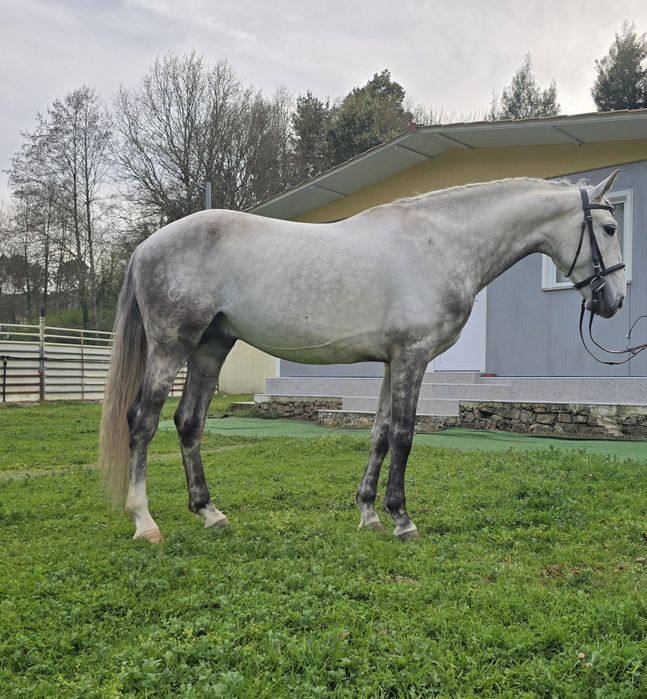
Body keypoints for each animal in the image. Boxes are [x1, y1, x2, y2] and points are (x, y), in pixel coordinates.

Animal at [100, 170, 626, 543]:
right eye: (610, 226)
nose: (615, 299)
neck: (442, 243)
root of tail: (145, 246)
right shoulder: (413, 357)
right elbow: (404, 435)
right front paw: (402, 520)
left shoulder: (393, 361)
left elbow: (378, 434)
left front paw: (369, 513)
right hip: (172, 346)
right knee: (143, 420)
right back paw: (144, 521)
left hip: (211, 346)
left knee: (189, 422)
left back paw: (210, 513)